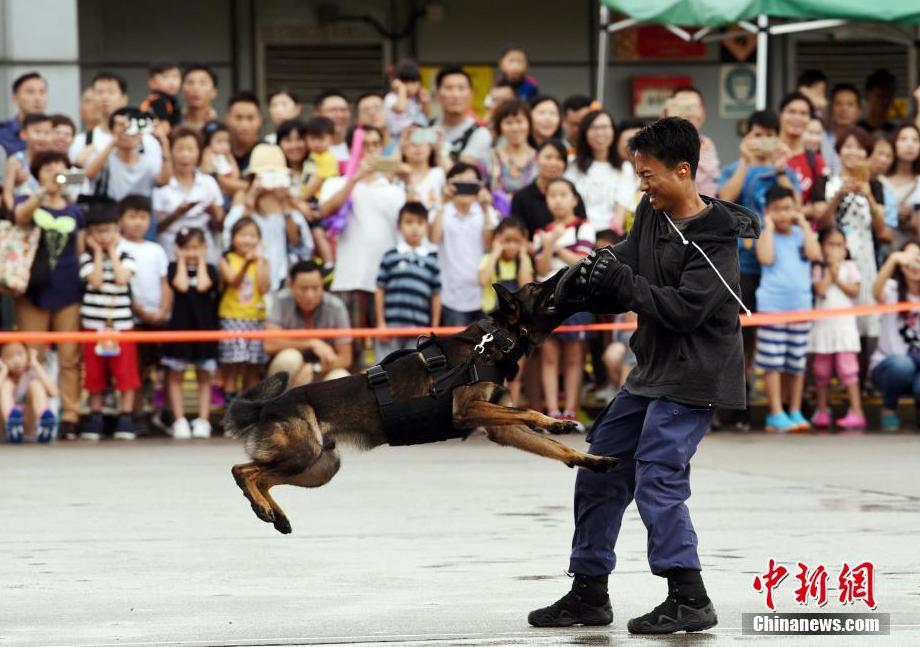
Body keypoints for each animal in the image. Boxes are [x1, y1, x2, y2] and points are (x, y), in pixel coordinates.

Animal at [225, 270, 620, 536]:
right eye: (537, 288)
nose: (568, 268)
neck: (496, 340)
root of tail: (267, 405)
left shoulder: (500, 429)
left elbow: (554, 448)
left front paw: (589, 457)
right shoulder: (467, 410)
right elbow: (526, 410)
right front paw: (553, 421)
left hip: (322, 466)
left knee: (261, 476)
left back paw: (275, 515)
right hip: (303, 455)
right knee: (243, 471)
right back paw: (262, 508)